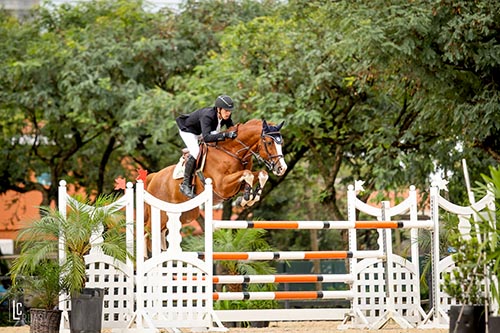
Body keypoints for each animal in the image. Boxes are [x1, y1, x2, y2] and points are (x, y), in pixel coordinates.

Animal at [143, 118, 288, 250]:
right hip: (160, 213)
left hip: (185, 215)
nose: (282, 168)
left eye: (281, 143)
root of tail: (154, 177)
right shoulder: (222, 185)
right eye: (269, 142)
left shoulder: (236, 185)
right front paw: (247, 198)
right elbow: (248, 174)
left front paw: (248, 199)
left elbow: (261, 174)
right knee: (147, 232)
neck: (232, 152)